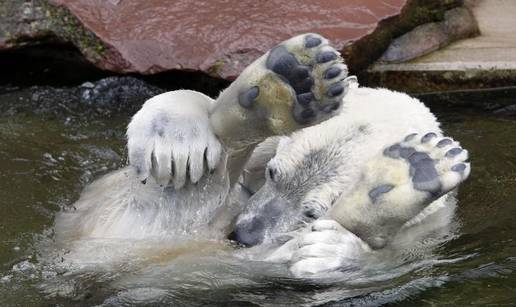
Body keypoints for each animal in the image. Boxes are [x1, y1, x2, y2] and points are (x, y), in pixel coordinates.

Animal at [54, 33, 470, 280]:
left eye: (312, 211)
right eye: (273, 173)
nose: (245, 234)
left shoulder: (430, 231)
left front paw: (336, 249)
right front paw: (175, 135)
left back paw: (408, 172)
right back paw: (290, 83)